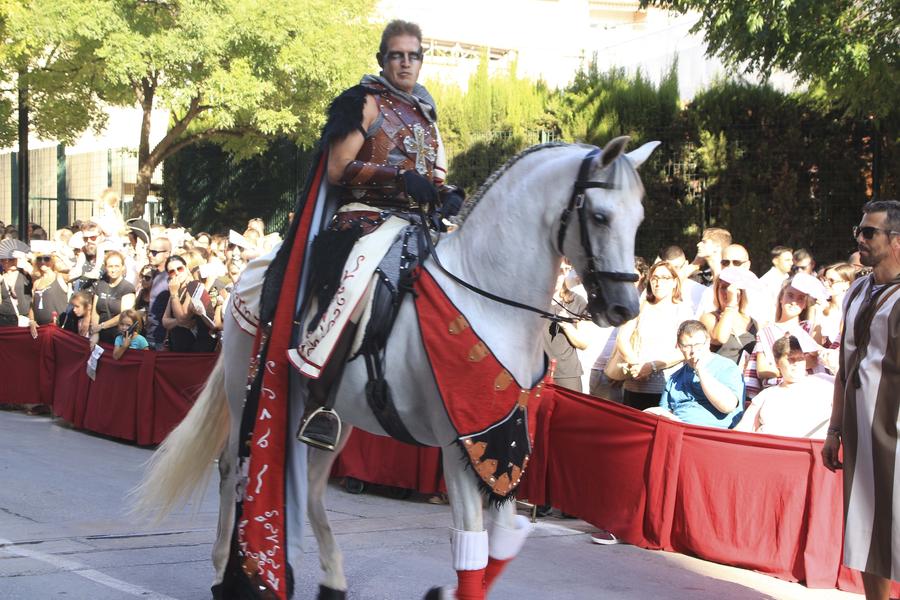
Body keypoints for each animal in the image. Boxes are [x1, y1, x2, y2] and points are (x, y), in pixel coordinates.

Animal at [135, 137, 652, 600]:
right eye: (600, 216)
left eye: (639, 219)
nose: (625, 308)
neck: (488, 300)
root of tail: (249, 271)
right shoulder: (459, 444)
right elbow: (472, 543)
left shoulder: (499, 442)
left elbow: (503, 540)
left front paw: (445, 590)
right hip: (249, 388)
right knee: (233, 468)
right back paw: (227, 573)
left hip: (328, 414)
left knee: (313, 490)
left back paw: (331, 581)